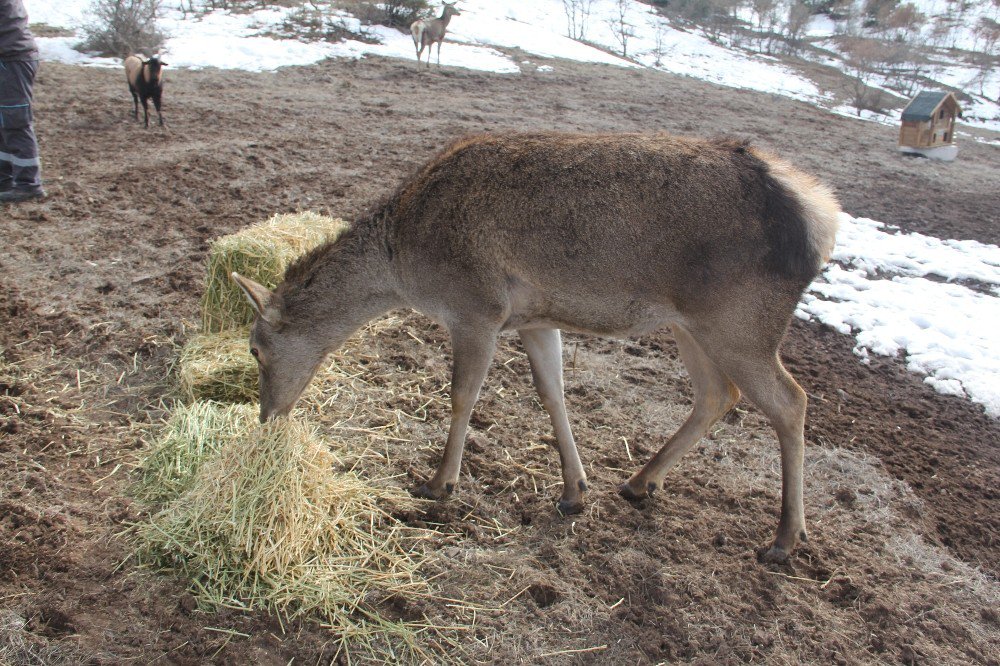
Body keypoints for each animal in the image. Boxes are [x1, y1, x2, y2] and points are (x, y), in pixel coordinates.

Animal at [234, 131, 844, 560]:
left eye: (255, 350)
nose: (266, 418)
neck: (404, 262)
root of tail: (821, 217)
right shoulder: (533, 316)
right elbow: (553, 393)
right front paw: (575, 491)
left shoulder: (476, 307)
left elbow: (462, 396)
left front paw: (439, 484)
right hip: (690, 323)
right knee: (719, 394)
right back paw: (639, 482)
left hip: (740, 322)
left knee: (791, 401)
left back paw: (784, 539)